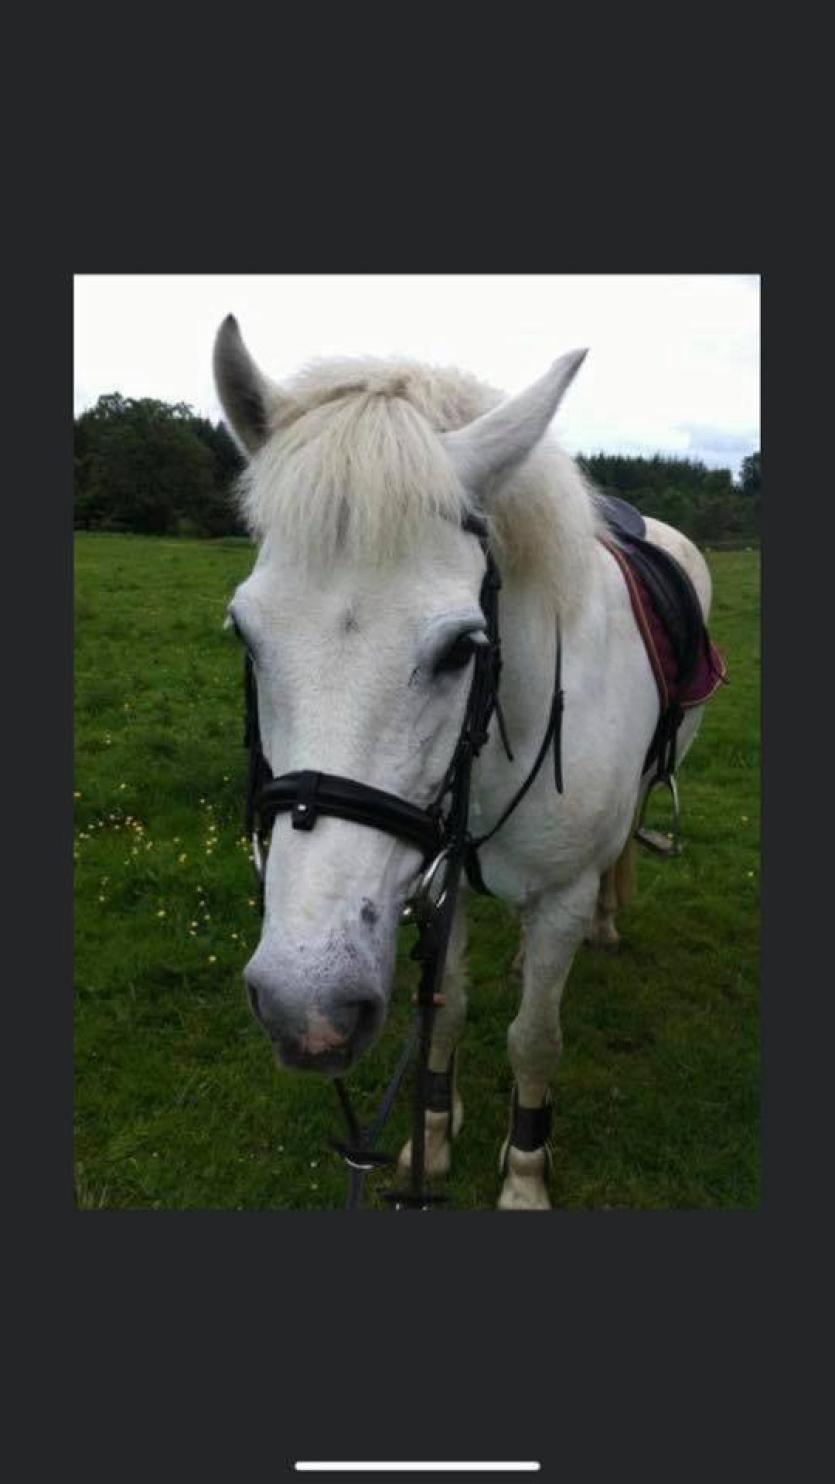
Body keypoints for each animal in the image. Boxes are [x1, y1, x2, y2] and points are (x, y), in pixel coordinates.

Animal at [213, 315, 715, 1210]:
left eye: (462, 648)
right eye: (244, 632)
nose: (307, 1008)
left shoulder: (557, 896)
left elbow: (534, 1039)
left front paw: (524, 1173)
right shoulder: (434, 882)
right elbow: (443, 1013)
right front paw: (432, 1140)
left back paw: (604, 925)